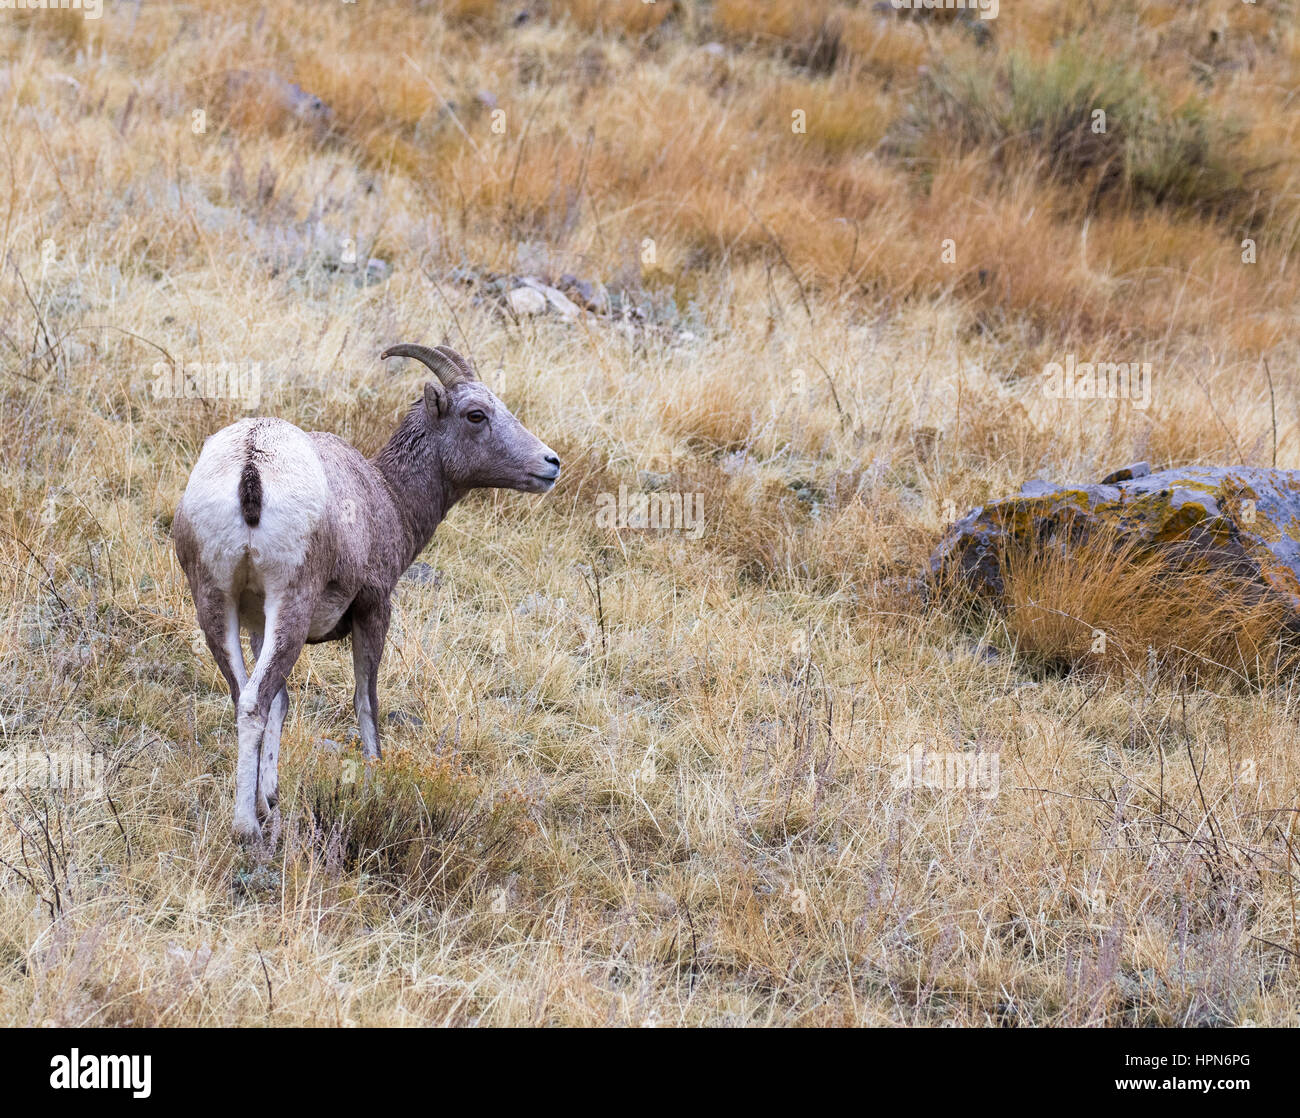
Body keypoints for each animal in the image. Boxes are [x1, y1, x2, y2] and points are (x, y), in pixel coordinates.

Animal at [173, 344, 560, 842]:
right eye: (476, 414)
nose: (550, 463)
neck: (387, 496)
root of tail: (252, 464)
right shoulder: (374, 610)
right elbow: (366, 704)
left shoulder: (258, 623)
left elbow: (283, 705)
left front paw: (272, 801)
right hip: (291, 606)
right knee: (255, 702)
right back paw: (247, 830)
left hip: (215, 606)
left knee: (246, 696)